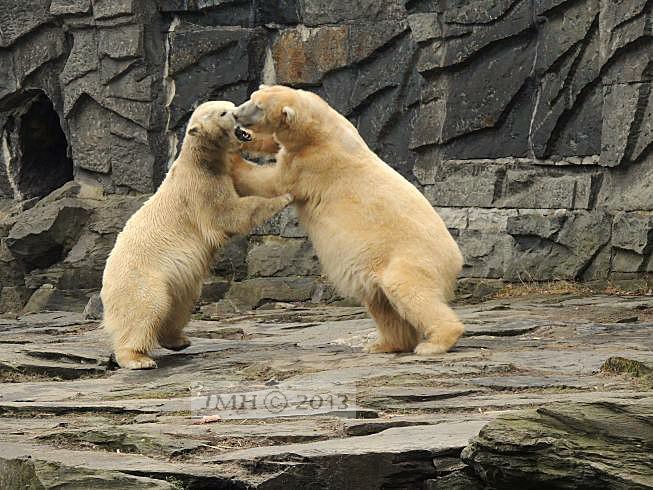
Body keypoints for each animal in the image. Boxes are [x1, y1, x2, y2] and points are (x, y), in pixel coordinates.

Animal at [101, 101, 290, 368]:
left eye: (231, 105)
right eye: (223, 112)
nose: (237, 114)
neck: (200, 159)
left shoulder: (222, 170)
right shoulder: (201, 188)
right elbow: (229, 214)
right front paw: (284, 198)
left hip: (174, 286)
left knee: (178, 306)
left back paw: (178, 340)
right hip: (142, 281)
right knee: (148, 309)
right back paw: (138, 358)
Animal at [232, 86, 466, 356]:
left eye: (258, 107)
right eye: (252, 97)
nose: (236, 115)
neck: (322, 131)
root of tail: (456, 260)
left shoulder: (312, 165)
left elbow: (270, 183)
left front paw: (232, 159)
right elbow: (273, 147)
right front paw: (241, 138)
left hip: (411, 258)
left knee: (409, 292)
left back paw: (433, 343)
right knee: (381, 303)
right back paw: (384, 344)